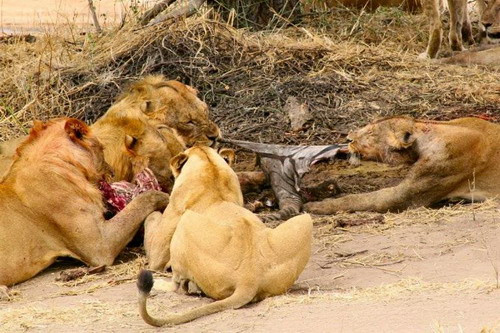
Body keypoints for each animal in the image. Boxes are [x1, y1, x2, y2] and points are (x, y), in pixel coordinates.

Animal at [0, 118, 168, 288]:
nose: (113, 171)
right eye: (102, 148)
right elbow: (145, 199)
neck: (64, 163)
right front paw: (166, 196)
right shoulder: (100, 245)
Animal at [137, 145, 312, 324]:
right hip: (305, 220)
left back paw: (160, 284)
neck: (211, 170)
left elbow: (153, 244)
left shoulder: (163, 240)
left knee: (177, 286)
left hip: (185, 223)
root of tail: (249, 279)